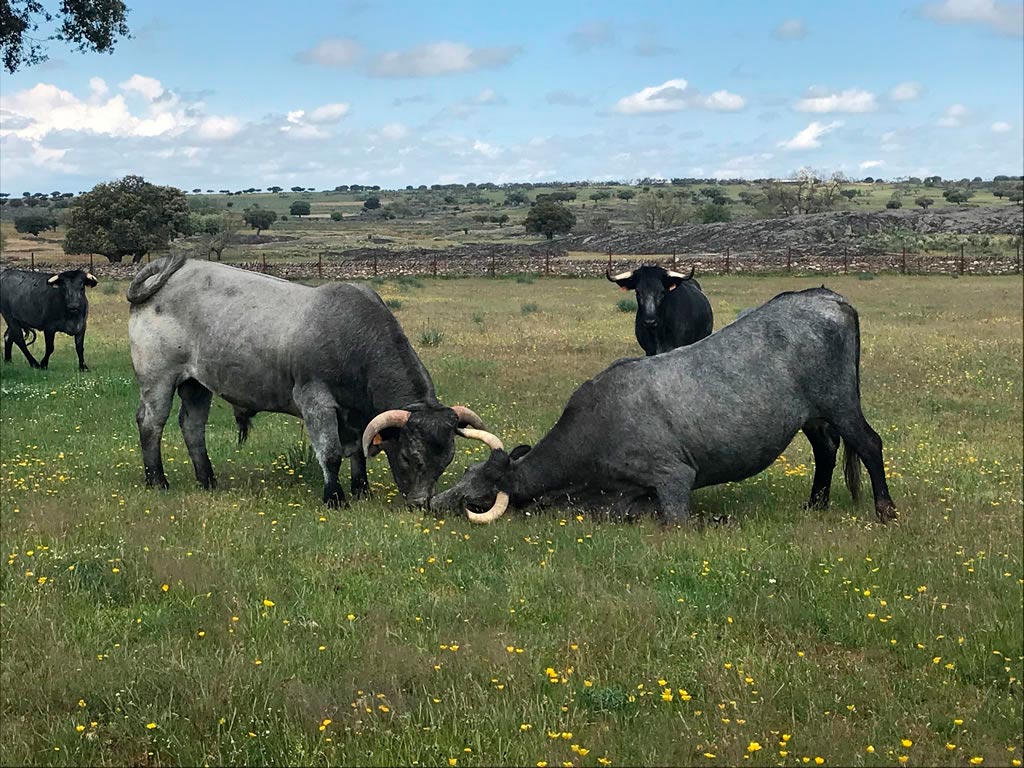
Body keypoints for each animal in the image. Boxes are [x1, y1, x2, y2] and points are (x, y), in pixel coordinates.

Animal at [125, 256, 501, 512]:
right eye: (410, 457)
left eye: (446, 461)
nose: (420, 505)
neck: (353, 338)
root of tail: (172, 272)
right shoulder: (316, 401)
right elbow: (331, 453)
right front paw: (335, 497)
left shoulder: (356, 415)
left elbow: (357, 450)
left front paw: (361, 489)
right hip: (158, 378)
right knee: (151, 423)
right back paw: (157, 480)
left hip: (196, 384)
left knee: (192, 427)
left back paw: (207, 480)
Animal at [432, 286, 897, 528]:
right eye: (466, 473)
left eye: (475, 494)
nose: (430, 503)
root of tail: (828, 297)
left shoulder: (674, 480)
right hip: (813, 417)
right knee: (827, 450)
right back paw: (815, 504)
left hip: (840, 403)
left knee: (869, 444)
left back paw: (884, 510)